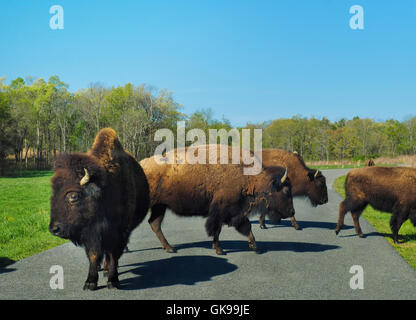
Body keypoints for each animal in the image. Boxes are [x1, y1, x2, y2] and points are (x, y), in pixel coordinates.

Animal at [48, 127, 150, 290]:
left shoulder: (121, 232)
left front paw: (113, 281)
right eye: (53, 194)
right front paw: (90, 282)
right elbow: (94, 255)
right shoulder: (90, 234)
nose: (54, 229)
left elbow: (114, 254)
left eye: (73, 196)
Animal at [141, 145, 296, 255]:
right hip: (152, 205)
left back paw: (169, 248)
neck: (248, 176)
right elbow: (220, 228)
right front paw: (221, 250)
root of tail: (143, 165)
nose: (292, 211)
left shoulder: (231, 212)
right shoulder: (223, 210)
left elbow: (238, 227)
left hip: (160, 206)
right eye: (286, 190)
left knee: (154, 223)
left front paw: (253, 245)